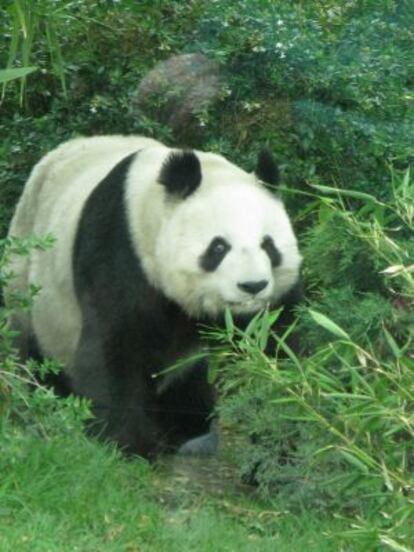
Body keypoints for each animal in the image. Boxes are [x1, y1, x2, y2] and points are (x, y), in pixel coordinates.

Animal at [4, 137, 302, 458]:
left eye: (268, 246)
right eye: (219, 247)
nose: (253, 285)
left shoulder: (271, 305)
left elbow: (272, 348)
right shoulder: (119, 253)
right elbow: (113, 349)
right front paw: (127, 445)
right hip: (33, 291)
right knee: (36, 357)